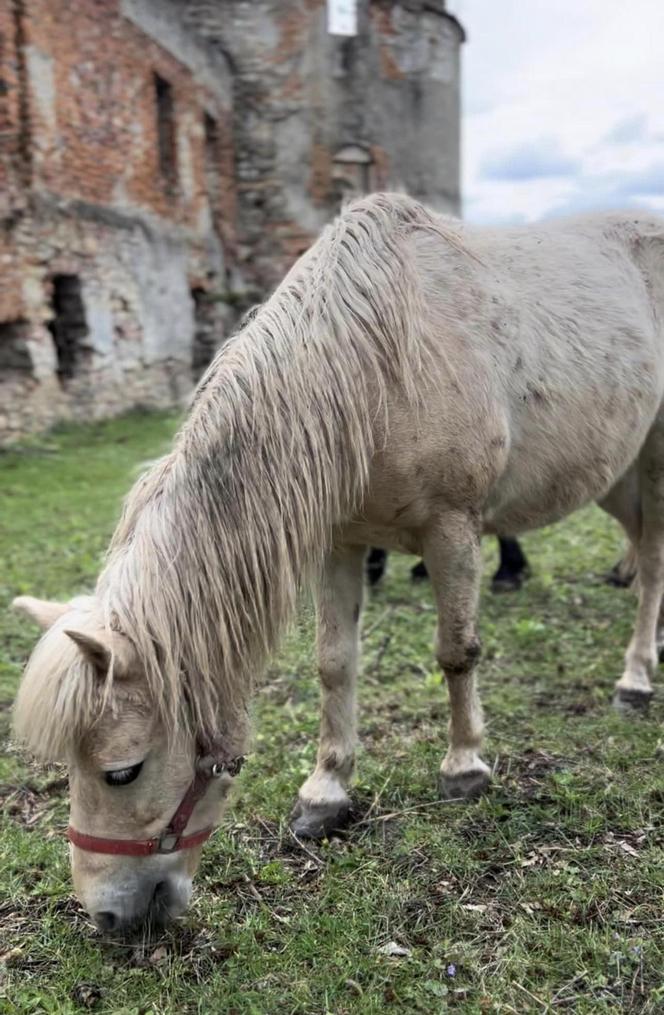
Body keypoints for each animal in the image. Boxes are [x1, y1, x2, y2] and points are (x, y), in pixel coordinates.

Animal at [11, 195, 664, 933]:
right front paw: (326, 792)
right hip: (614, 474)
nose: (107, 917)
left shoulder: (453, 527)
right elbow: (334, 664)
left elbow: (456, 652)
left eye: (121, 770)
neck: (380, 362)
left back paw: (636, 677)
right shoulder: (340, 543)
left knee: (653, 563)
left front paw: (464, 766)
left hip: (652, 456)